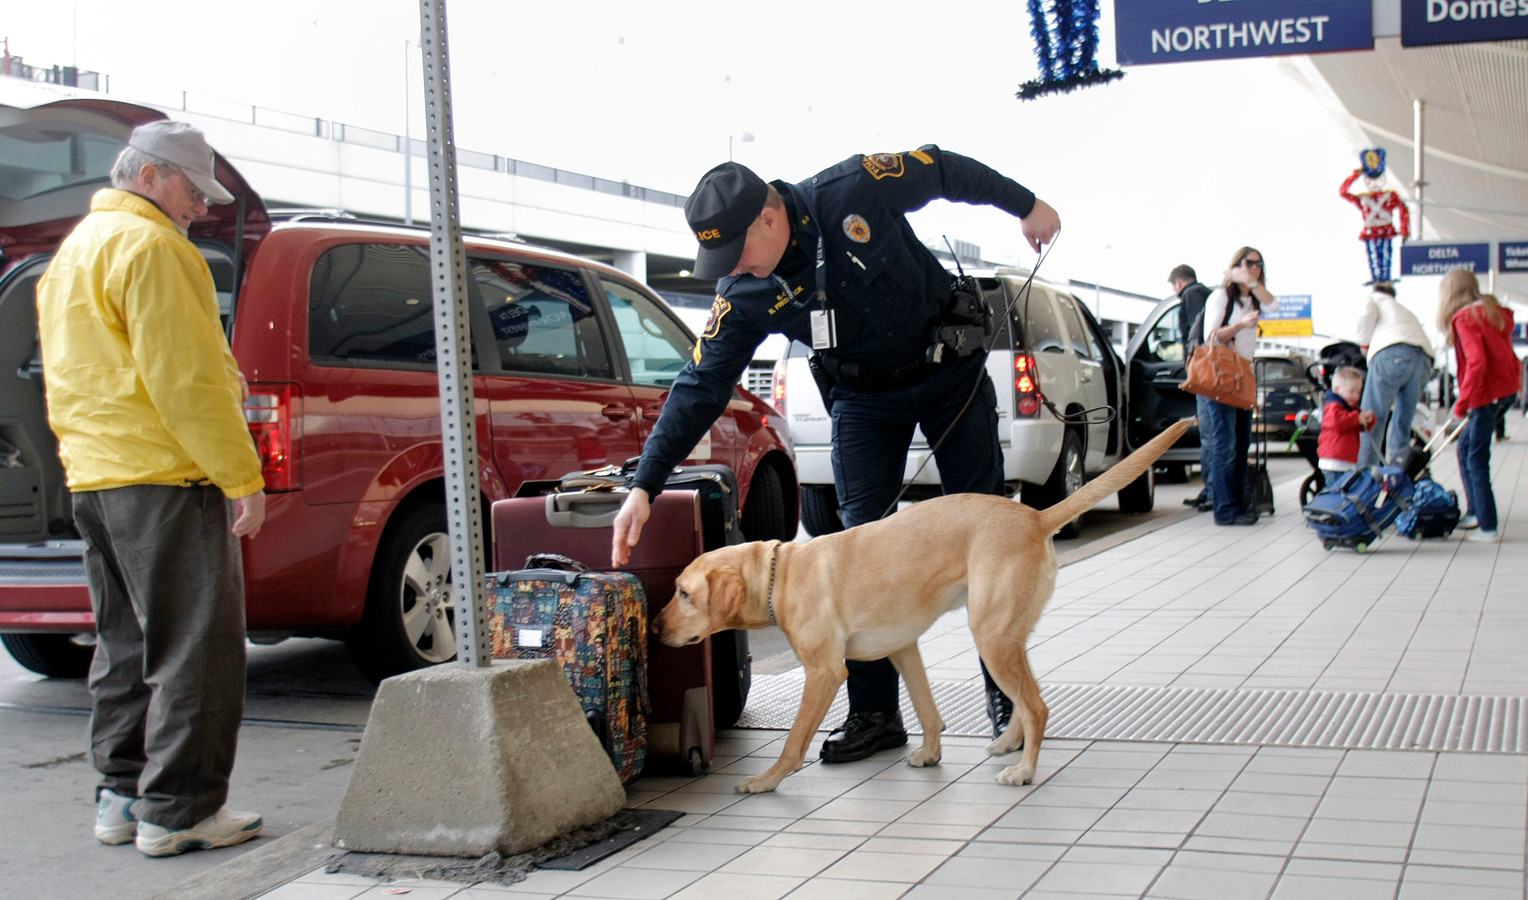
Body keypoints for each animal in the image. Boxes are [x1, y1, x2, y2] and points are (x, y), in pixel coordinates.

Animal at [653, 418, 1191, 788]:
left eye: (684, 593)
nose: (655, 629)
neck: (778, 575)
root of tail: (1034, 517)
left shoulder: (824, 672)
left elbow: (793, 741)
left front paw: (766, 781)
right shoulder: (903, 649)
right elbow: (927, 710)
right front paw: (931, 753)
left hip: (991, 635)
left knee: (1037, 705)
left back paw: (1024, 770)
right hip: (1006, 636)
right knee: (1025, 697)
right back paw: (1008, 742)